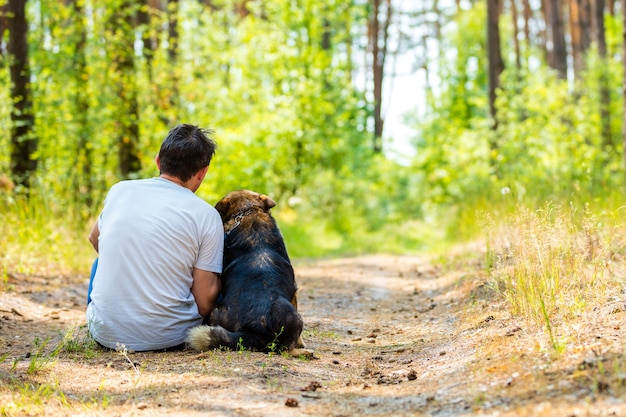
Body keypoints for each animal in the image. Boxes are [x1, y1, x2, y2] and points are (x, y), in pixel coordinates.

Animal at [185, 190, 312, 356]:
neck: (248, 213)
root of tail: (253, 331)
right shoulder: (294, 293)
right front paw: (302, 343)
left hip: (216, 311)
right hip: (293, 314)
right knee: (285, 349)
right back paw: (305, 352)